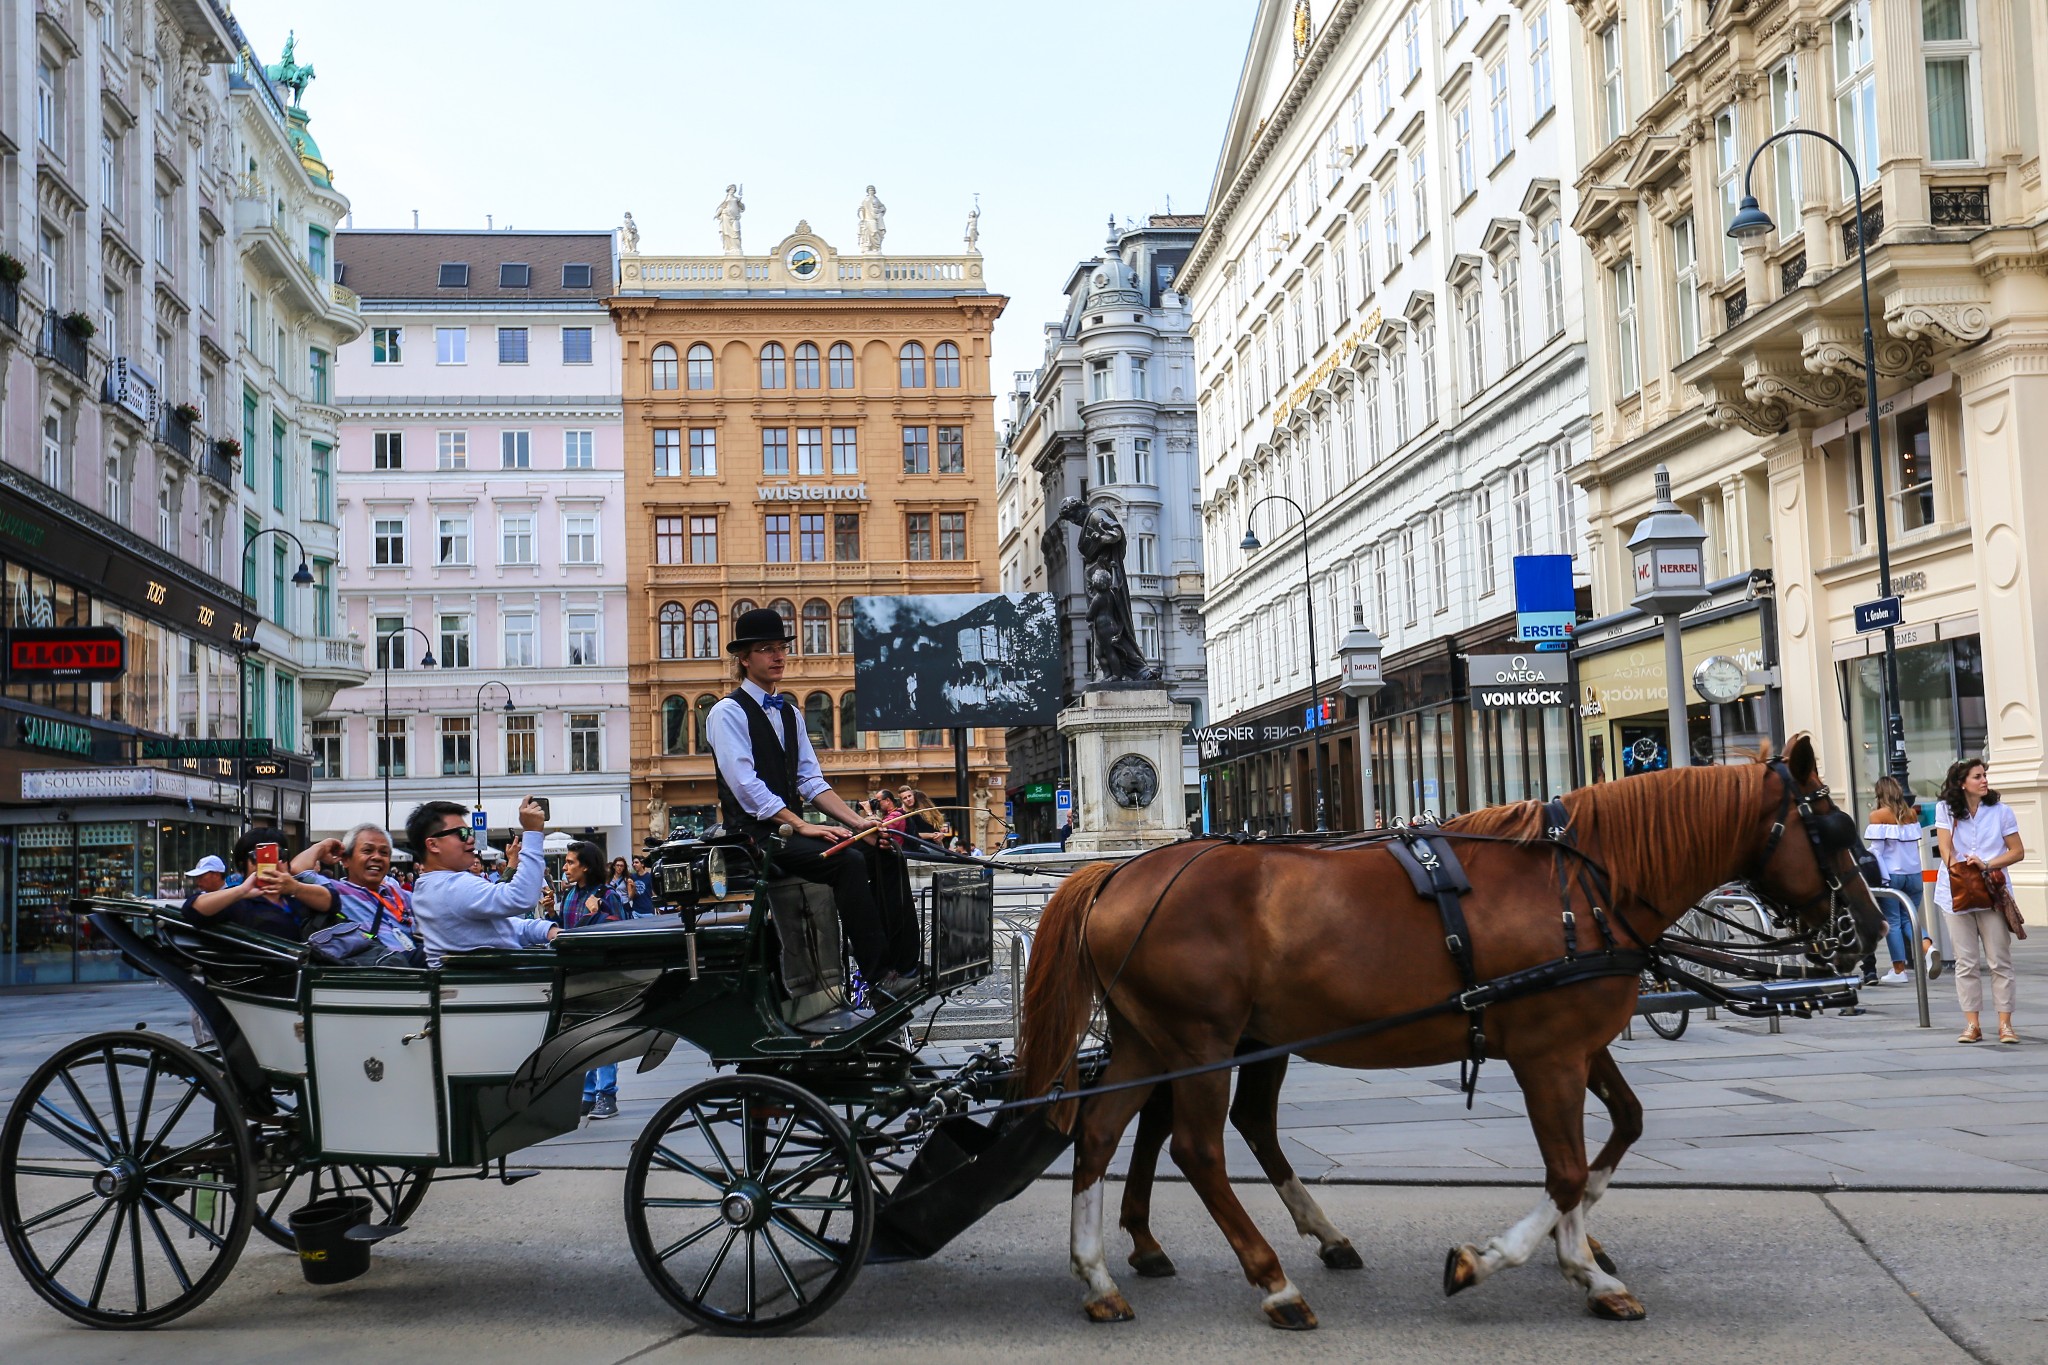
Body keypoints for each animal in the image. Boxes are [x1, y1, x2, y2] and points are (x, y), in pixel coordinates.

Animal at [1015, 740, 1875, 1326]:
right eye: (1831, 827)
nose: (1864, 929)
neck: (1582, 883)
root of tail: (1120, 871)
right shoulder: (1547, 1056)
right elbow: (1565, 1169)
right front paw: (1517, 1261)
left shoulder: (1579, 1044)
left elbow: (1619, 1131)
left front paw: (1582, 1247)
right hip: (1200, 1042)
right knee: (1198, 1148)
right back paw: (1273, 1280)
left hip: (1152, 1037)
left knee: (1103, 1131)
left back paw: (1101, 1273)